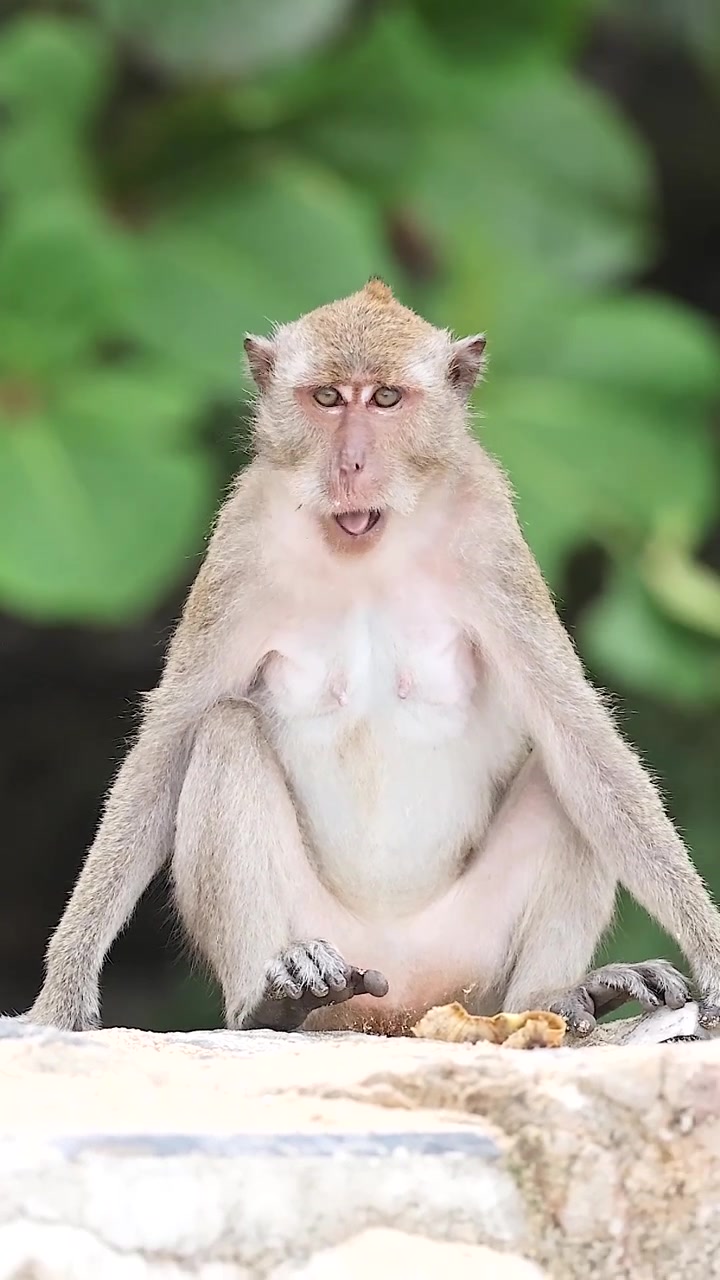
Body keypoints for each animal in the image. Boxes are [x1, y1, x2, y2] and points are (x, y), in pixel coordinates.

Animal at [13, 277, 720, 1040]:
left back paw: (557, 996)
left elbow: (581, 741)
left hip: (471, 963)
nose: (351, 464)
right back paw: (271, 1000)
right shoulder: (241, 540)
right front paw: (61, 996)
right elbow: (164, 752)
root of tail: (399, 1010)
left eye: (384, 399)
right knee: (225, 732)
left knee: (564, 777)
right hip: (332, 941)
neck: (365, 550)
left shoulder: (489, 533)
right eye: (327, 398)